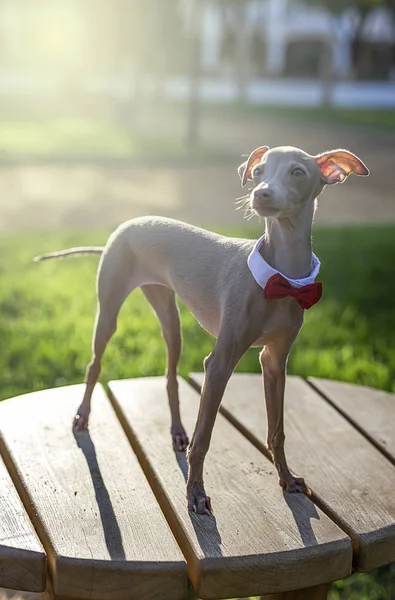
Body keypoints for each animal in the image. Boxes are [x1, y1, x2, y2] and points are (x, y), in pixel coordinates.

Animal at [35, 146, 370, 516]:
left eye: (298, 172)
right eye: (258, 172)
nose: (260, 194)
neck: (282, 278)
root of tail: (126, 224)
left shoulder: (275, 361)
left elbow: (277, 430)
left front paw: (287, 477)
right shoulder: (219, 363)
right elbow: (204, 438)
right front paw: (195, 494)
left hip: (170, 319)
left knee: (170, 376)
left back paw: (177, 432)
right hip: (108, 312)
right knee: (95, 364)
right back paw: (82, 416)